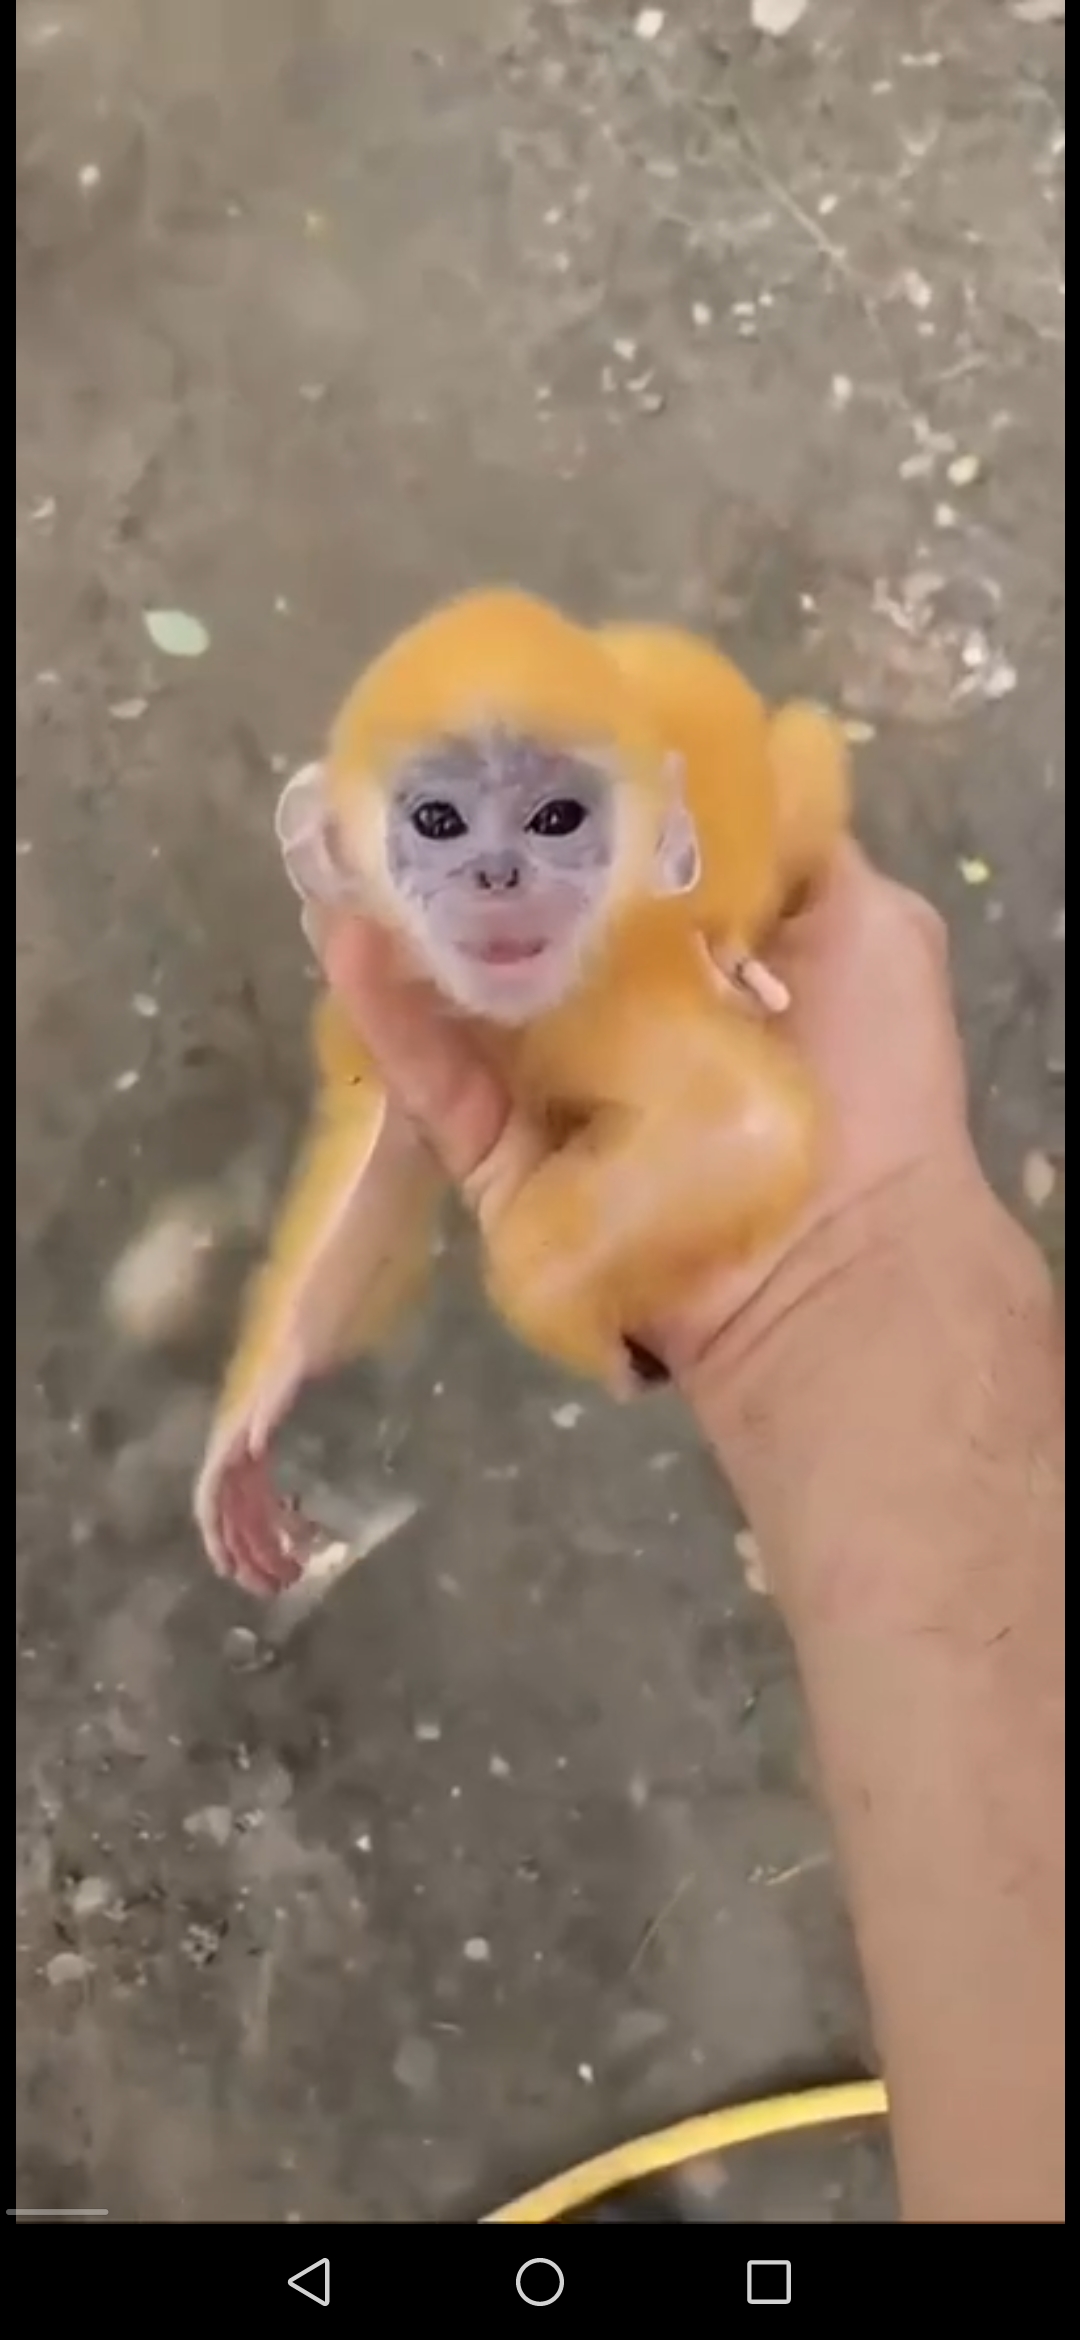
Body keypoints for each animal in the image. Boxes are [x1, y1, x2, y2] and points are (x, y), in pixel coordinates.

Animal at [195, 588, 850, 1594]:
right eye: (438, 821)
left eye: (556, 819)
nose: (497, 876)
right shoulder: (403, 990)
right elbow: (385, 1155)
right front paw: (257, 1414)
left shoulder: (601, 997)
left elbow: (745, 1126)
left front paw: (569, 1324)